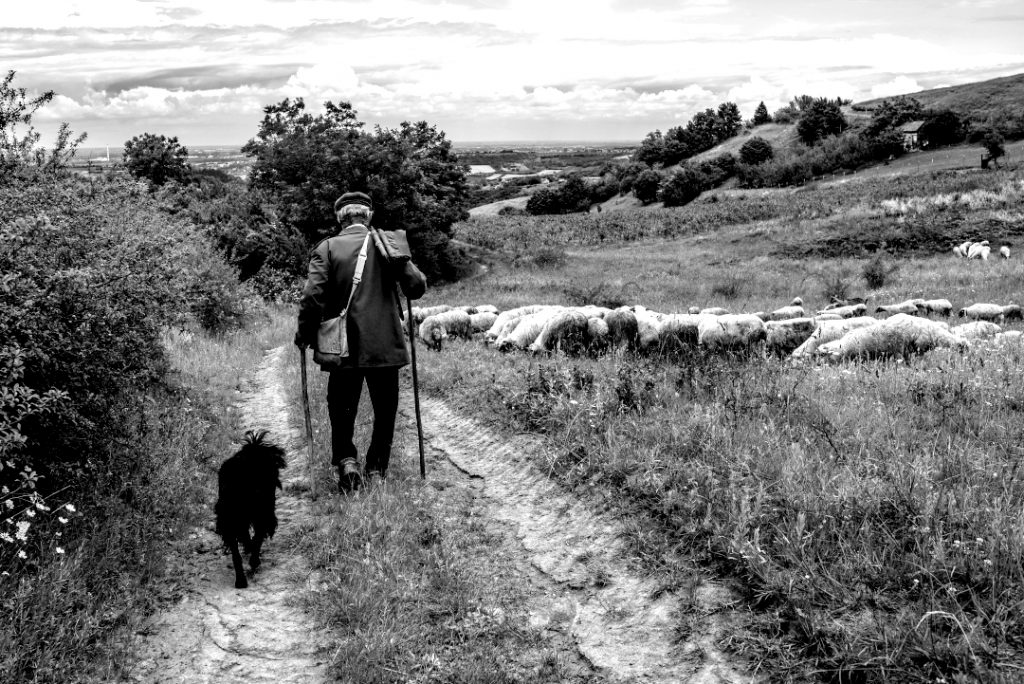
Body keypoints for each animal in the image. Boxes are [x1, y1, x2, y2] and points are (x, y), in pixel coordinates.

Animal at [211, 432, 284, 589]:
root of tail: (254, 448)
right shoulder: (231, 524)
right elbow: (237, 555)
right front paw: (241, 580)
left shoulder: (260, 517)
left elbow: (256, 540)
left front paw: (253, 561)